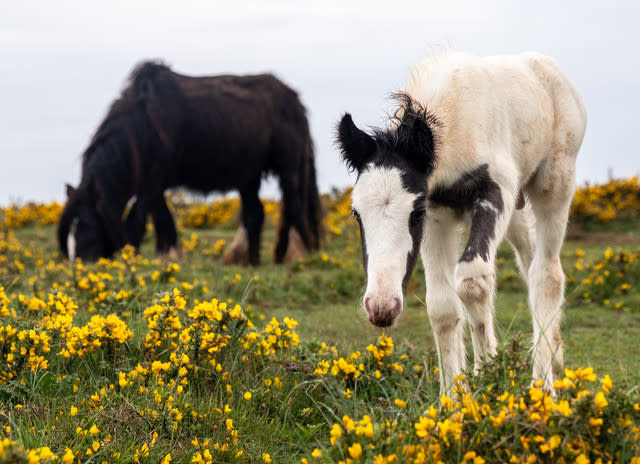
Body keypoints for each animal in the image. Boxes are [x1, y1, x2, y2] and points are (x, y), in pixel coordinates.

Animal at [58, 61, 322, 264]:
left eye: (87, 228)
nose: (80, 266)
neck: (144, 125)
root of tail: (295, 100)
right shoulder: (154, 185)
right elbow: (163, 221)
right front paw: (166, 257)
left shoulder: (153, 180)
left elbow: (137, 220)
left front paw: (134, 257)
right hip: (249, 175)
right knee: (255, 214)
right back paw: (249, 260)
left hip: (288, 169)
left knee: (293, 207)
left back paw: (294, 255)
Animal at [338, 52, 588, 394]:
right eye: (356, 213)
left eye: (415, 212)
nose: (381, 308)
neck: (454, 113)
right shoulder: (439, 213)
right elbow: (442, 305)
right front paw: (454, 399)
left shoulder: (494, 193)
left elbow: (472, 280)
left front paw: (489, 382)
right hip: (516, 213)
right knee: (528, 260)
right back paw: (556, 357)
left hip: (555, 183)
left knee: (546, 274)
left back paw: (543, 388)